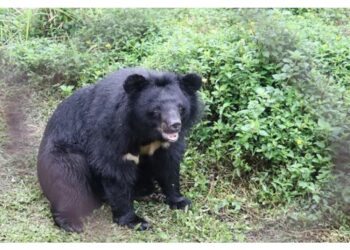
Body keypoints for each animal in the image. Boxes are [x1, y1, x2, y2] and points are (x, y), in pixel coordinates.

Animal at [36, 67, 201, 232]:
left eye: (181, 107)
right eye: (156, 110)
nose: (175, 125)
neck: (146, 133)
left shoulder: (165, 145)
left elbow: (168, 166)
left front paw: (181, 201)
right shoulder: (112, 130)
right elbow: (114, 169)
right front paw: (136, 221)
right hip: (61, 155)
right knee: (69, 178)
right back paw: (71, 222)